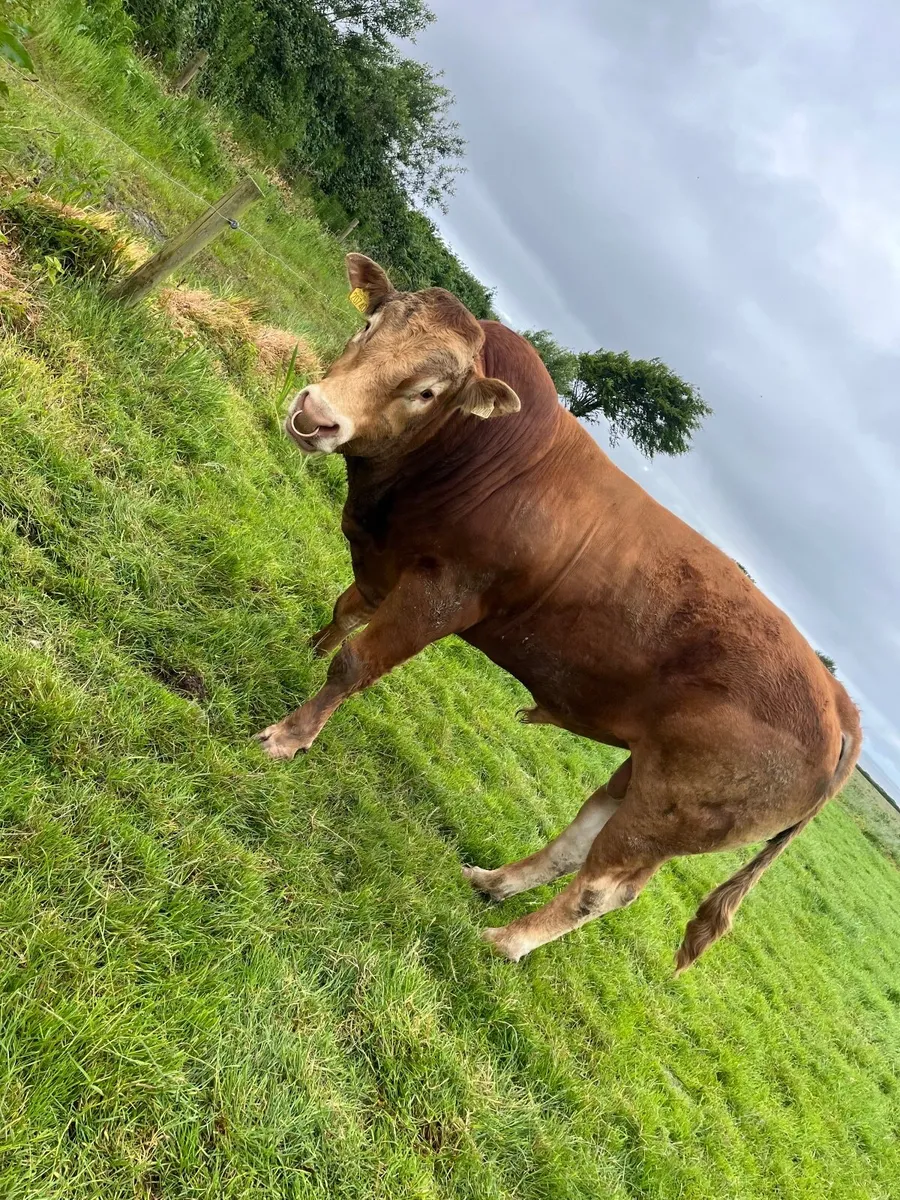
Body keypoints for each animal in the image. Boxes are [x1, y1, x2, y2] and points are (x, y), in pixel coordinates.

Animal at [256, 252, 861, 970]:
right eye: (369, 325)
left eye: (428, 391)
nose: (317, 413)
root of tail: (838, 704)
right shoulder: (385, 559)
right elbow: (345, 612)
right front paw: (303, 651)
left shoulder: (444, 593)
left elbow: (356, 661)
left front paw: (289, 736)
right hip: (645, 775)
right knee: (581, 836)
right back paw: (492, 882)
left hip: (671, 809)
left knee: (606, 886)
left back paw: (507, 940)